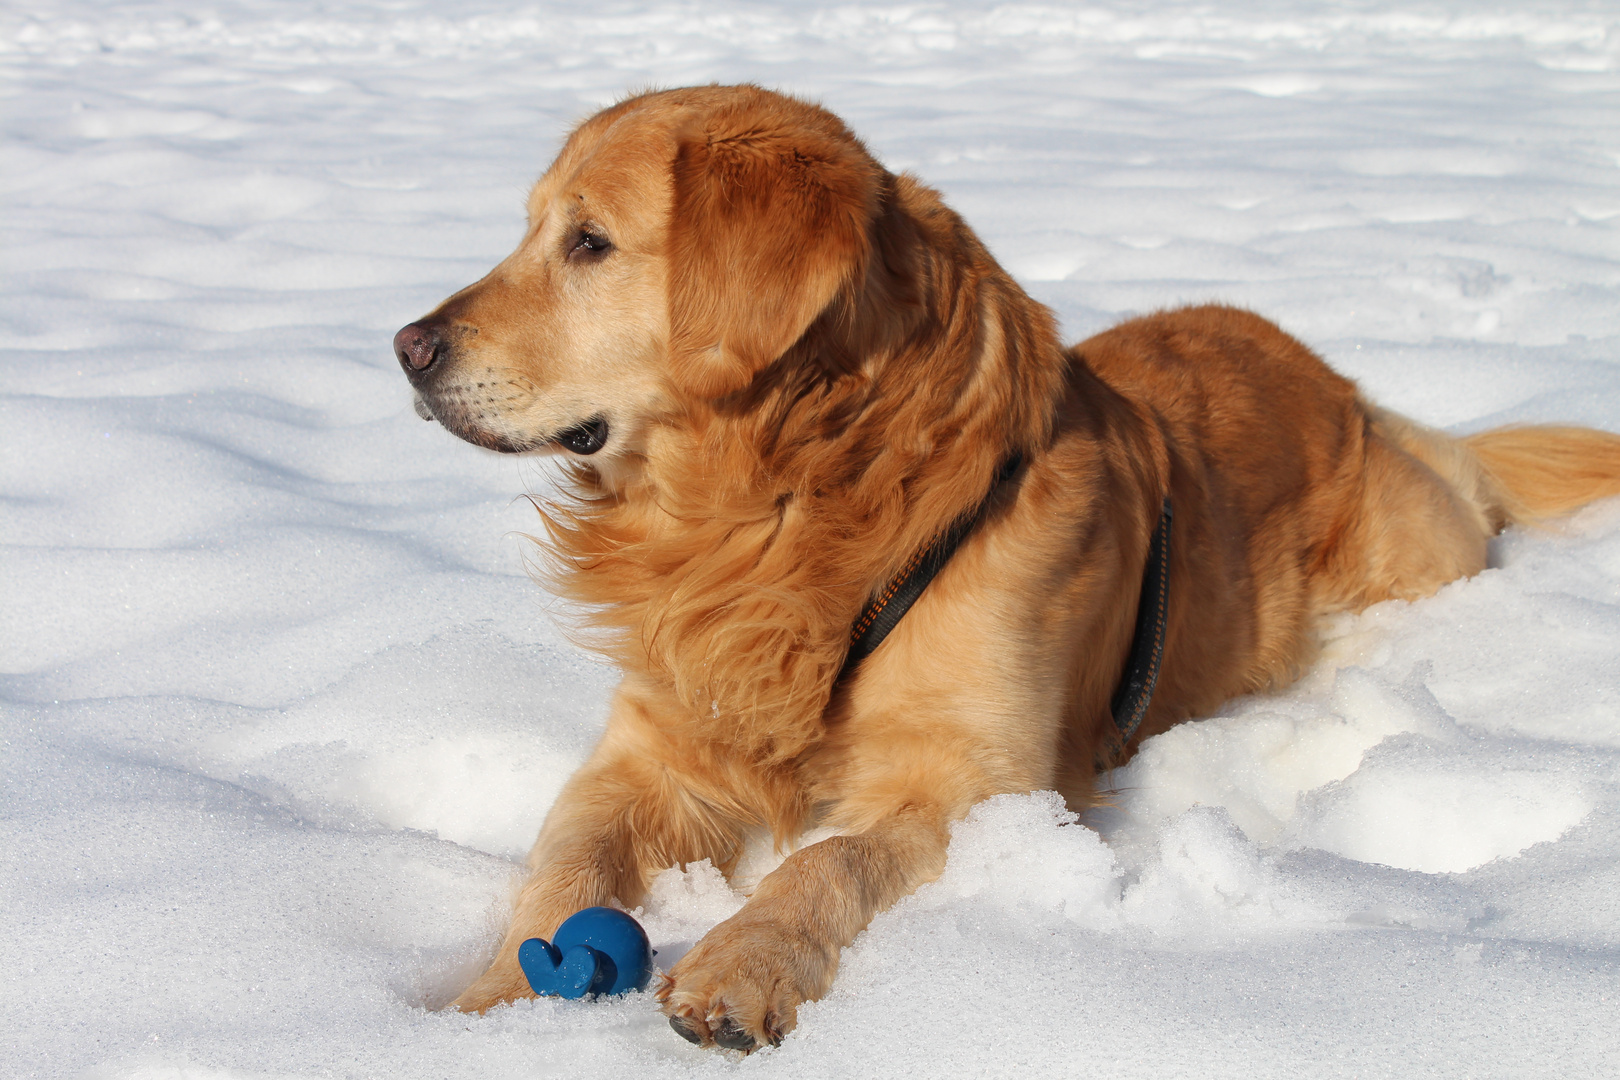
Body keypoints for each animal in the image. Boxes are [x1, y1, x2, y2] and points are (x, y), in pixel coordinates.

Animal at [398, 86, 1620, 1055]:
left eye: (590, 243)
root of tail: (1350, 390)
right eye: (532, 229)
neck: (782, 517)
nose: (408, 347)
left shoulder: (982, 787)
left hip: (1412, 565)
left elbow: (825, 864)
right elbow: (563, 867)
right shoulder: (648, 752)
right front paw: (491, 1005)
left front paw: (743, 966)